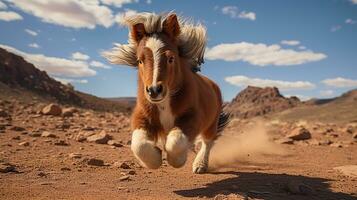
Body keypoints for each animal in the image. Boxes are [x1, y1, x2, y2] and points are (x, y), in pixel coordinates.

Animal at [104, 12, 229, 173]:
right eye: (139, 60)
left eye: (171, 58)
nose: (154, 90)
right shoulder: (141, 116)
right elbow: (139, 145)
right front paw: (156, 157)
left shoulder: (193, 117)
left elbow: (176, 141)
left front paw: (177, 160)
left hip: (211, 123)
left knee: (207, 142)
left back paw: (199, 165)